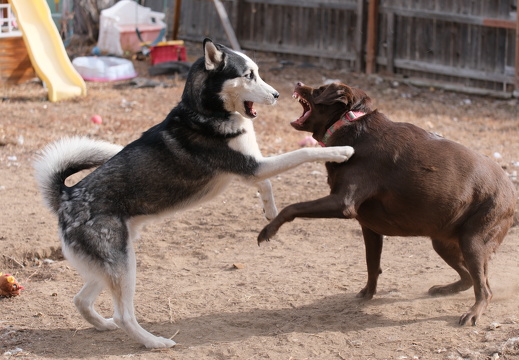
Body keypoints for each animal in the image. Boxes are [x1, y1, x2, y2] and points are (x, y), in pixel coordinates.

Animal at [34, 39, 356, 348]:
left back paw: (103, 325)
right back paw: (154, 342)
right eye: (248, 75)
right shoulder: (253, 167)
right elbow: (304, 152)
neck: (205, 113)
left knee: (81, 300)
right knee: (123, 315)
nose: (277, 95)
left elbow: (267, 186)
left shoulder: (253, 169)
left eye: (258, 73)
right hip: (124, 264)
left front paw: (271, 212)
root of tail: (67, 196)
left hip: (114, 261)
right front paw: (341, 151)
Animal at [258, 81, 516, 326]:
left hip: (474, 242)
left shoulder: (342, 203)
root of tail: (512, 192)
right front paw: (367, 294)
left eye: (320, 89)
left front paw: (268, 230)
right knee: (468, 278)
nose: (298, 83)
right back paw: (444, 289)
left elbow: (292, 207)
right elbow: (372, 264)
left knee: (484, 288)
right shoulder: (370, 229)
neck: (350, 125)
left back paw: (473, 313)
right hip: (444, 243)